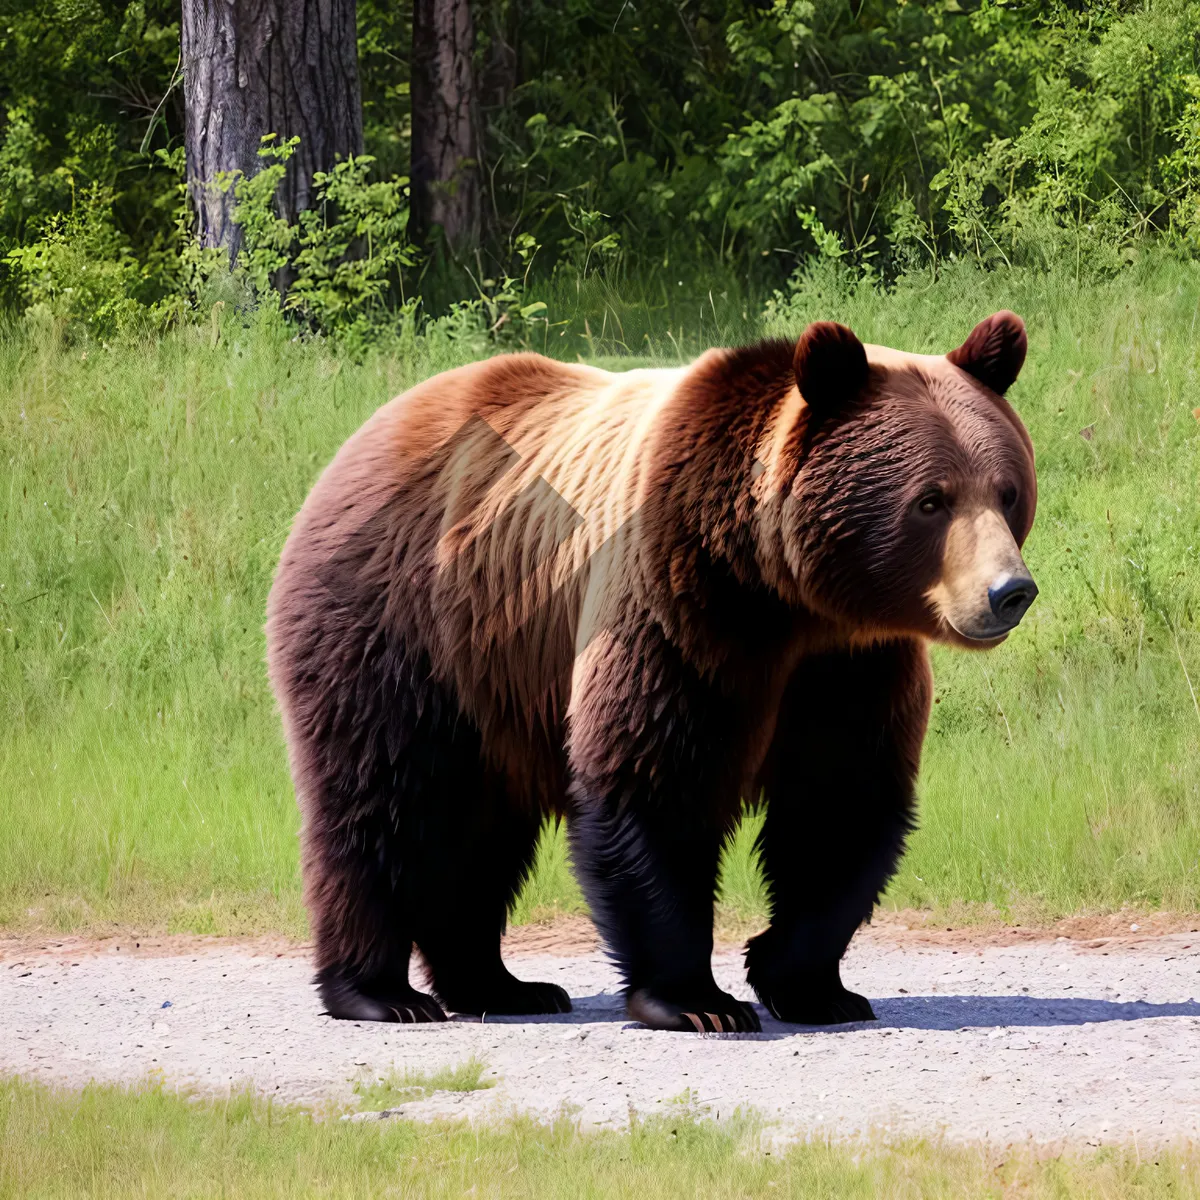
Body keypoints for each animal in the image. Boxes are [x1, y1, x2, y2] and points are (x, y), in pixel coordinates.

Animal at [267, 314, 1036, 1036]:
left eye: (1006, 492)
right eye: (931, 500)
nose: (1009, 592)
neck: (786, 595)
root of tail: (364, 437)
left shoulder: (851, 664)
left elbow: (840, 804)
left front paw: (810, 984)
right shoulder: (677, 607)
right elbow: (655, 780)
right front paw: (698, 1002)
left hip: (494, 677)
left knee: (482, 829)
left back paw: (500, 986)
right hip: (402, 621)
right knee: (382, 798)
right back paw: (379, 992)